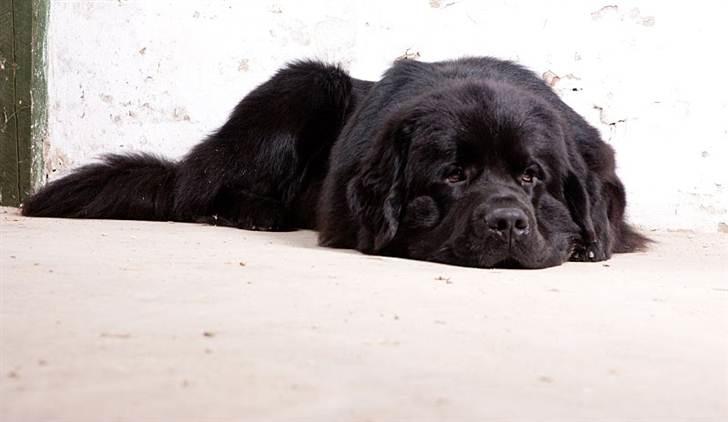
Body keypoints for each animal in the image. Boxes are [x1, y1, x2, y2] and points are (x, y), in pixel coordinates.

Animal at [22, 56, 648, 268]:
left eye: (531, 177)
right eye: (452, 175)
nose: (508, 222)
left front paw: (589, 244)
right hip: (306, 83)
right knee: (200, 189)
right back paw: (253, 212)